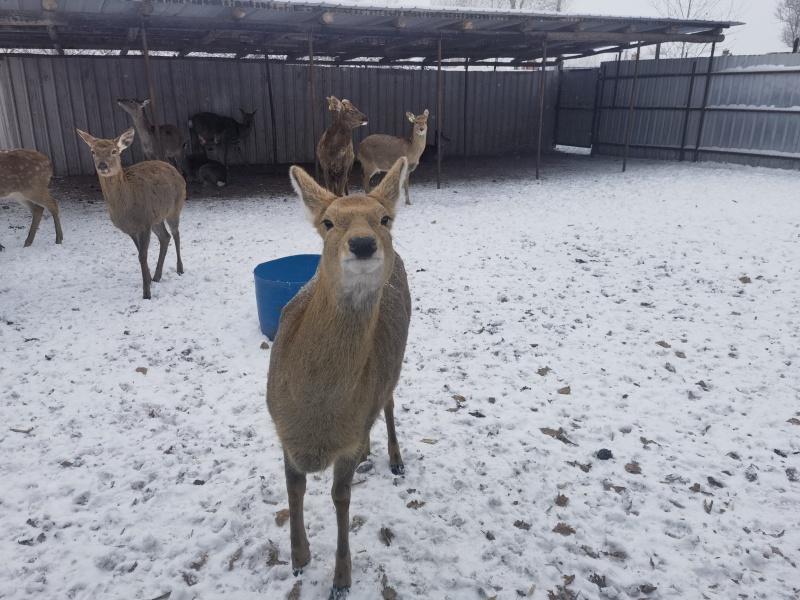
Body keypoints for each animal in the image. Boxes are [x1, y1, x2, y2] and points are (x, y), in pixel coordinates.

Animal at [76, 128, 185, 300]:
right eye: (93, 151)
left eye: (114, 151)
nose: (102, 165)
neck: (126, 211)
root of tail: (176, 171)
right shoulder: (132, 228)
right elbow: (140, 253)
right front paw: (148, 279)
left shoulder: (145, 223)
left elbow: (142, 255)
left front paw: (146, 293)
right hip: (156, 218)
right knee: (165, 237)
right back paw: (157, 276)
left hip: (175, 207)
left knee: (175, 234)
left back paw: (180, 269)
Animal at [267, 157, 412, 600]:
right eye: (328, 222)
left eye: (386, 219)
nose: (364, 243)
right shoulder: (282, 429)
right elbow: (294, 488)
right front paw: (298, 559)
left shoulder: (346, 439)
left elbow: (340, 497)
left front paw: (341, 580)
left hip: (396, 364)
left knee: (389, 402)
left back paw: (395, 460)